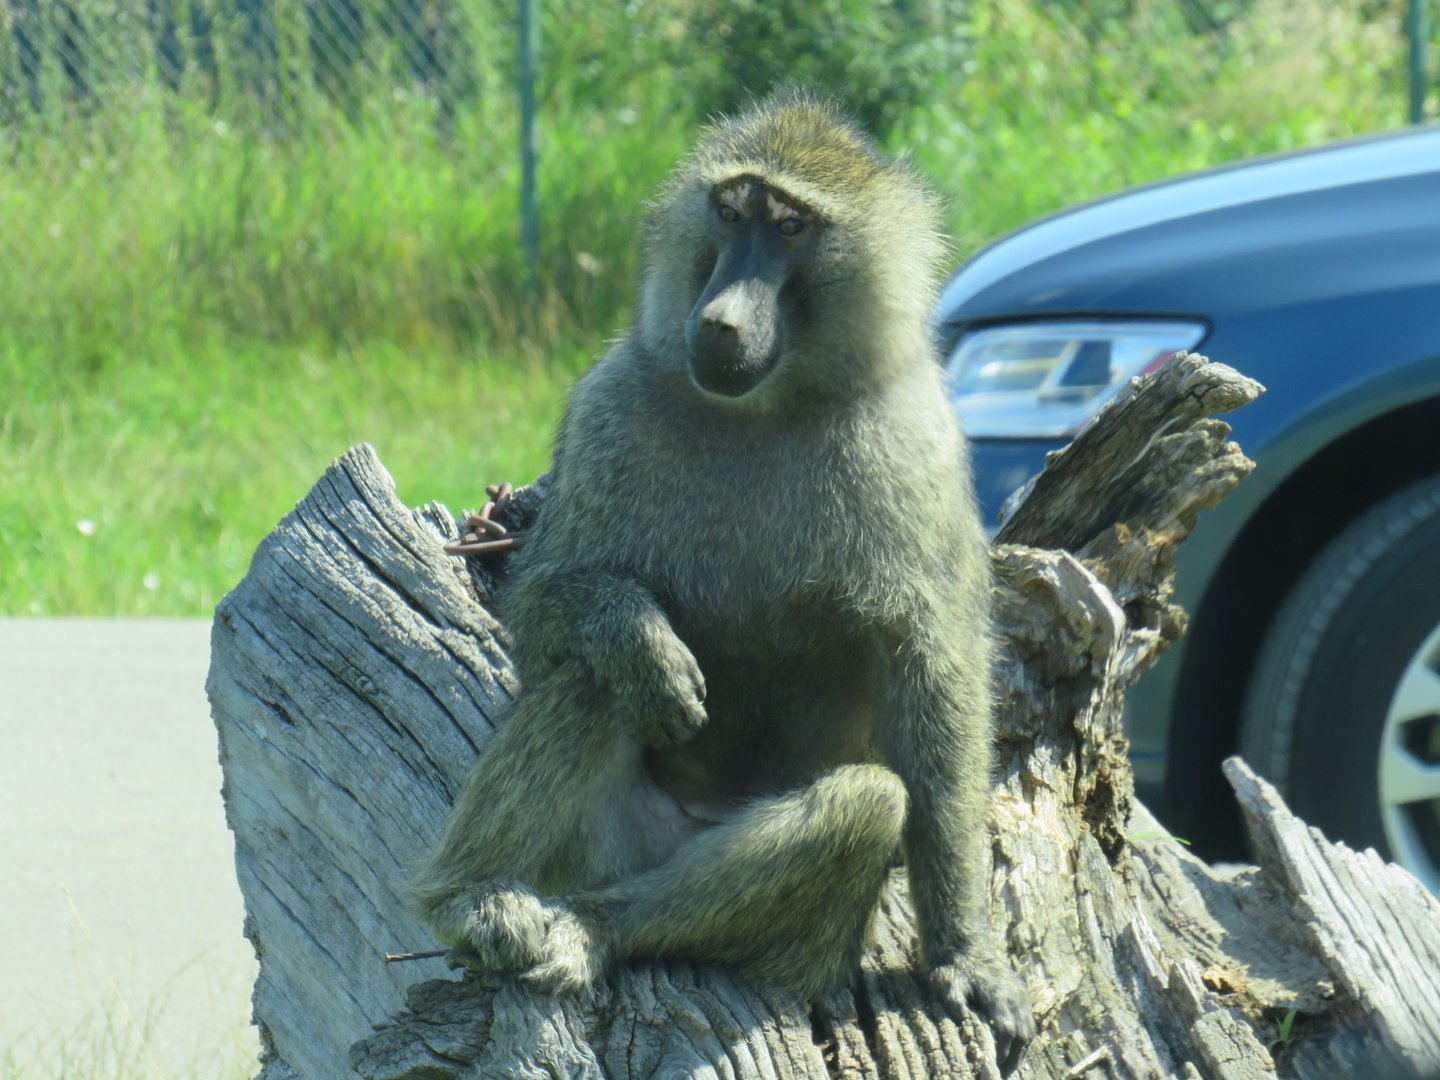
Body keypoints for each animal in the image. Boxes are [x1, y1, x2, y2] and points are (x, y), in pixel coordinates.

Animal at [408, 88, 1035, 1058]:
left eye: (790, 226)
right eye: (732, 211)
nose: (720, 323)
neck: (768, 409)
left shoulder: (920, 448)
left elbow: (936, 679)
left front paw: (968, 956)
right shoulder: (611, 403)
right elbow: (544, 602)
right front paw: (640, 642)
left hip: (793, 942)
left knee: (866, 804)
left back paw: (596, 930)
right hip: (592, 847)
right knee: (589, 681)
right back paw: (472, 900)